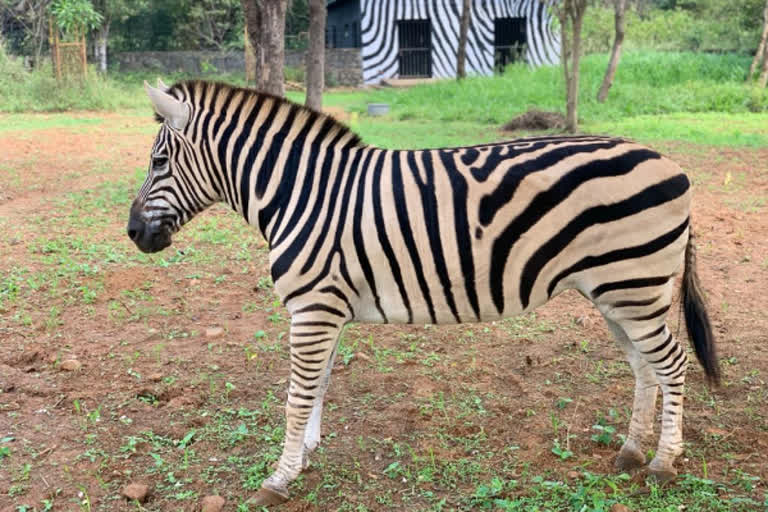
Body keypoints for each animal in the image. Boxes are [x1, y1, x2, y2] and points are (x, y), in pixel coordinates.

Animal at [127, 81, 720, 508]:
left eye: (158, 162)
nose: (133, 234)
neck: (301, 195)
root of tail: (671, 163)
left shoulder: (313, 309)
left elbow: (297, 396)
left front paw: (279, 478)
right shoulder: (325, 308)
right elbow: (317, 388)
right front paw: (307, 455)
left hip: (634, 285)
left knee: (671, 363)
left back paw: (663, 462)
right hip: (615, 291)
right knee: (644, 366)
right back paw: (631, 451)